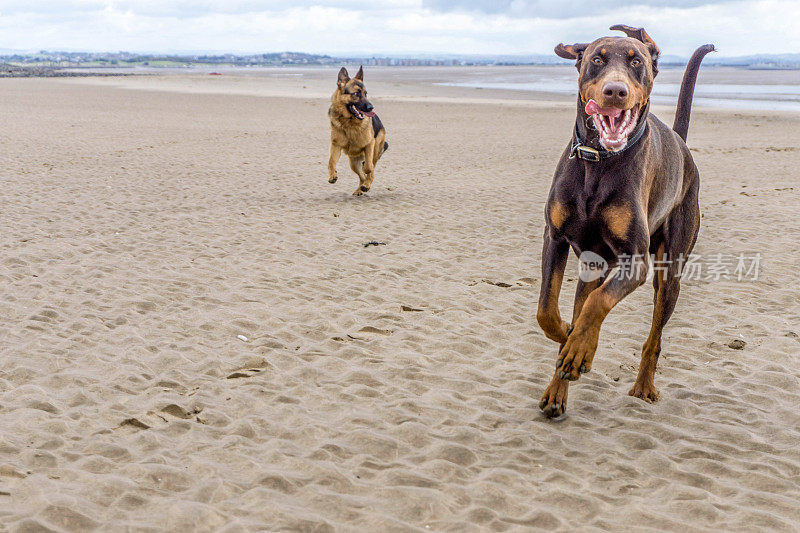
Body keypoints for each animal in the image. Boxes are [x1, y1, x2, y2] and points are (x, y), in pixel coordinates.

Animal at [324, 66, 388, 195]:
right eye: (356, 93)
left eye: (365, 93)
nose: (371, 108)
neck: (349, 122)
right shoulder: (336, 145)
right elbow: (331, 161)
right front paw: (332, 175)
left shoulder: (370, 144)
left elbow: (368, 167)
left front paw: (367, 176)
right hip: (353, 163)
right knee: (361, 177)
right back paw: (360, 189)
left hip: (374, 151)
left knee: (370, 170)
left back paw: (366, 185)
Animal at [536, 25, 712, 416]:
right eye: (597, 59)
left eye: (636, 62)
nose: (614, 91)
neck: (599, 160)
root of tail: (680, 144)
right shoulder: (555, 237)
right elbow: (548, 311)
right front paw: (568, 337)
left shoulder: (636, 261)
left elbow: (598, 304)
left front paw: (579, 347)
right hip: (593, 264)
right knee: (585, 300)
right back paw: (559, 386)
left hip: (669, 274)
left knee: (653, 337)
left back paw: (641, 384)